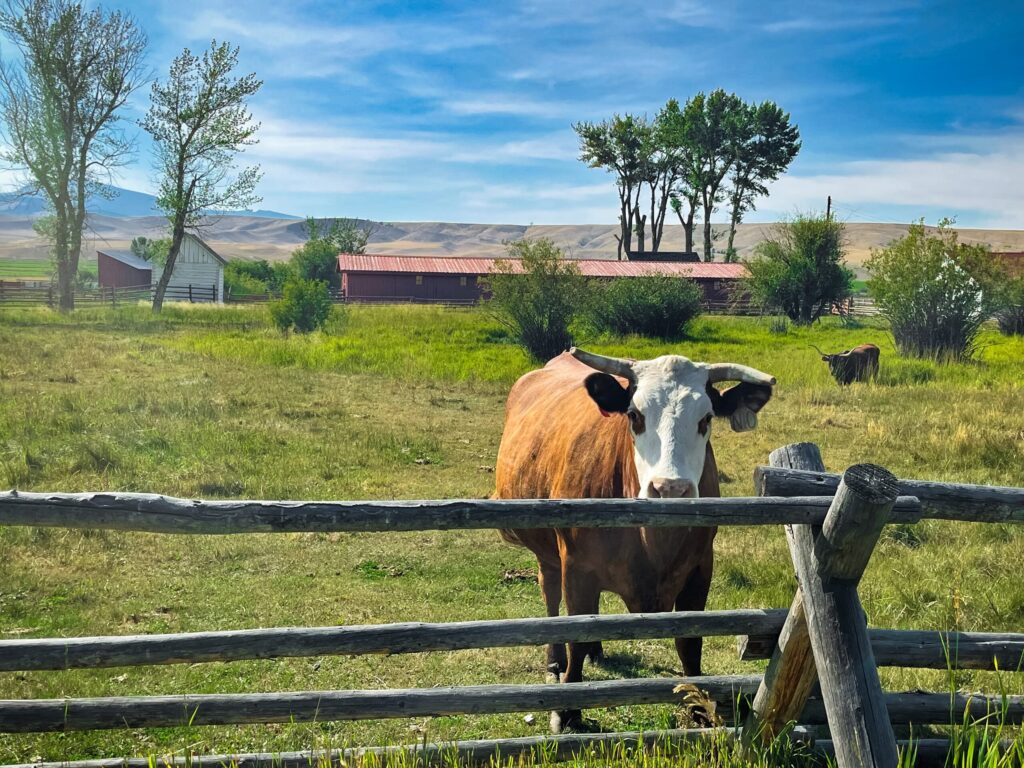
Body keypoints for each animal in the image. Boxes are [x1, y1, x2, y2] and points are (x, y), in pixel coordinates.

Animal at [495, 348, 774, 733]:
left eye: (706, 419)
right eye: (634, 415)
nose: (670, 489)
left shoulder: (701, 567)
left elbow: (690, 641)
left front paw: (699, 708)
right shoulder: (576, 568)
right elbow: (575, 635)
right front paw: (567, 710)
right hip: (548, 552)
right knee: (550, 594)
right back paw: (554, 660)